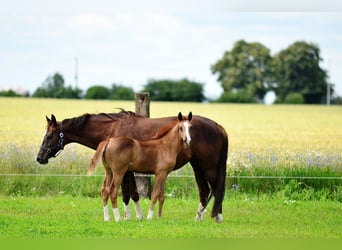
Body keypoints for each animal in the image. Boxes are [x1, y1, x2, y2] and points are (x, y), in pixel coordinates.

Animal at [36, 109, 228, 223]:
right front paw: (136, 216)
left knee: (216, 188)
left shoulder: (125, 171)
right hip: (197, 166)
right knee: (205, 191)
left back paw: (218, 217)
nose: (39, 158)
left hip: (208, 167)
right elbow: (133, 194)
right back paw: (199, 218)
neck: (112, 129)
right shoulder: (128, 170)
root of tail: (219, 127)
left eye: (49, 135)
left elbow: (128, 194)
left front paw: (130, 216)